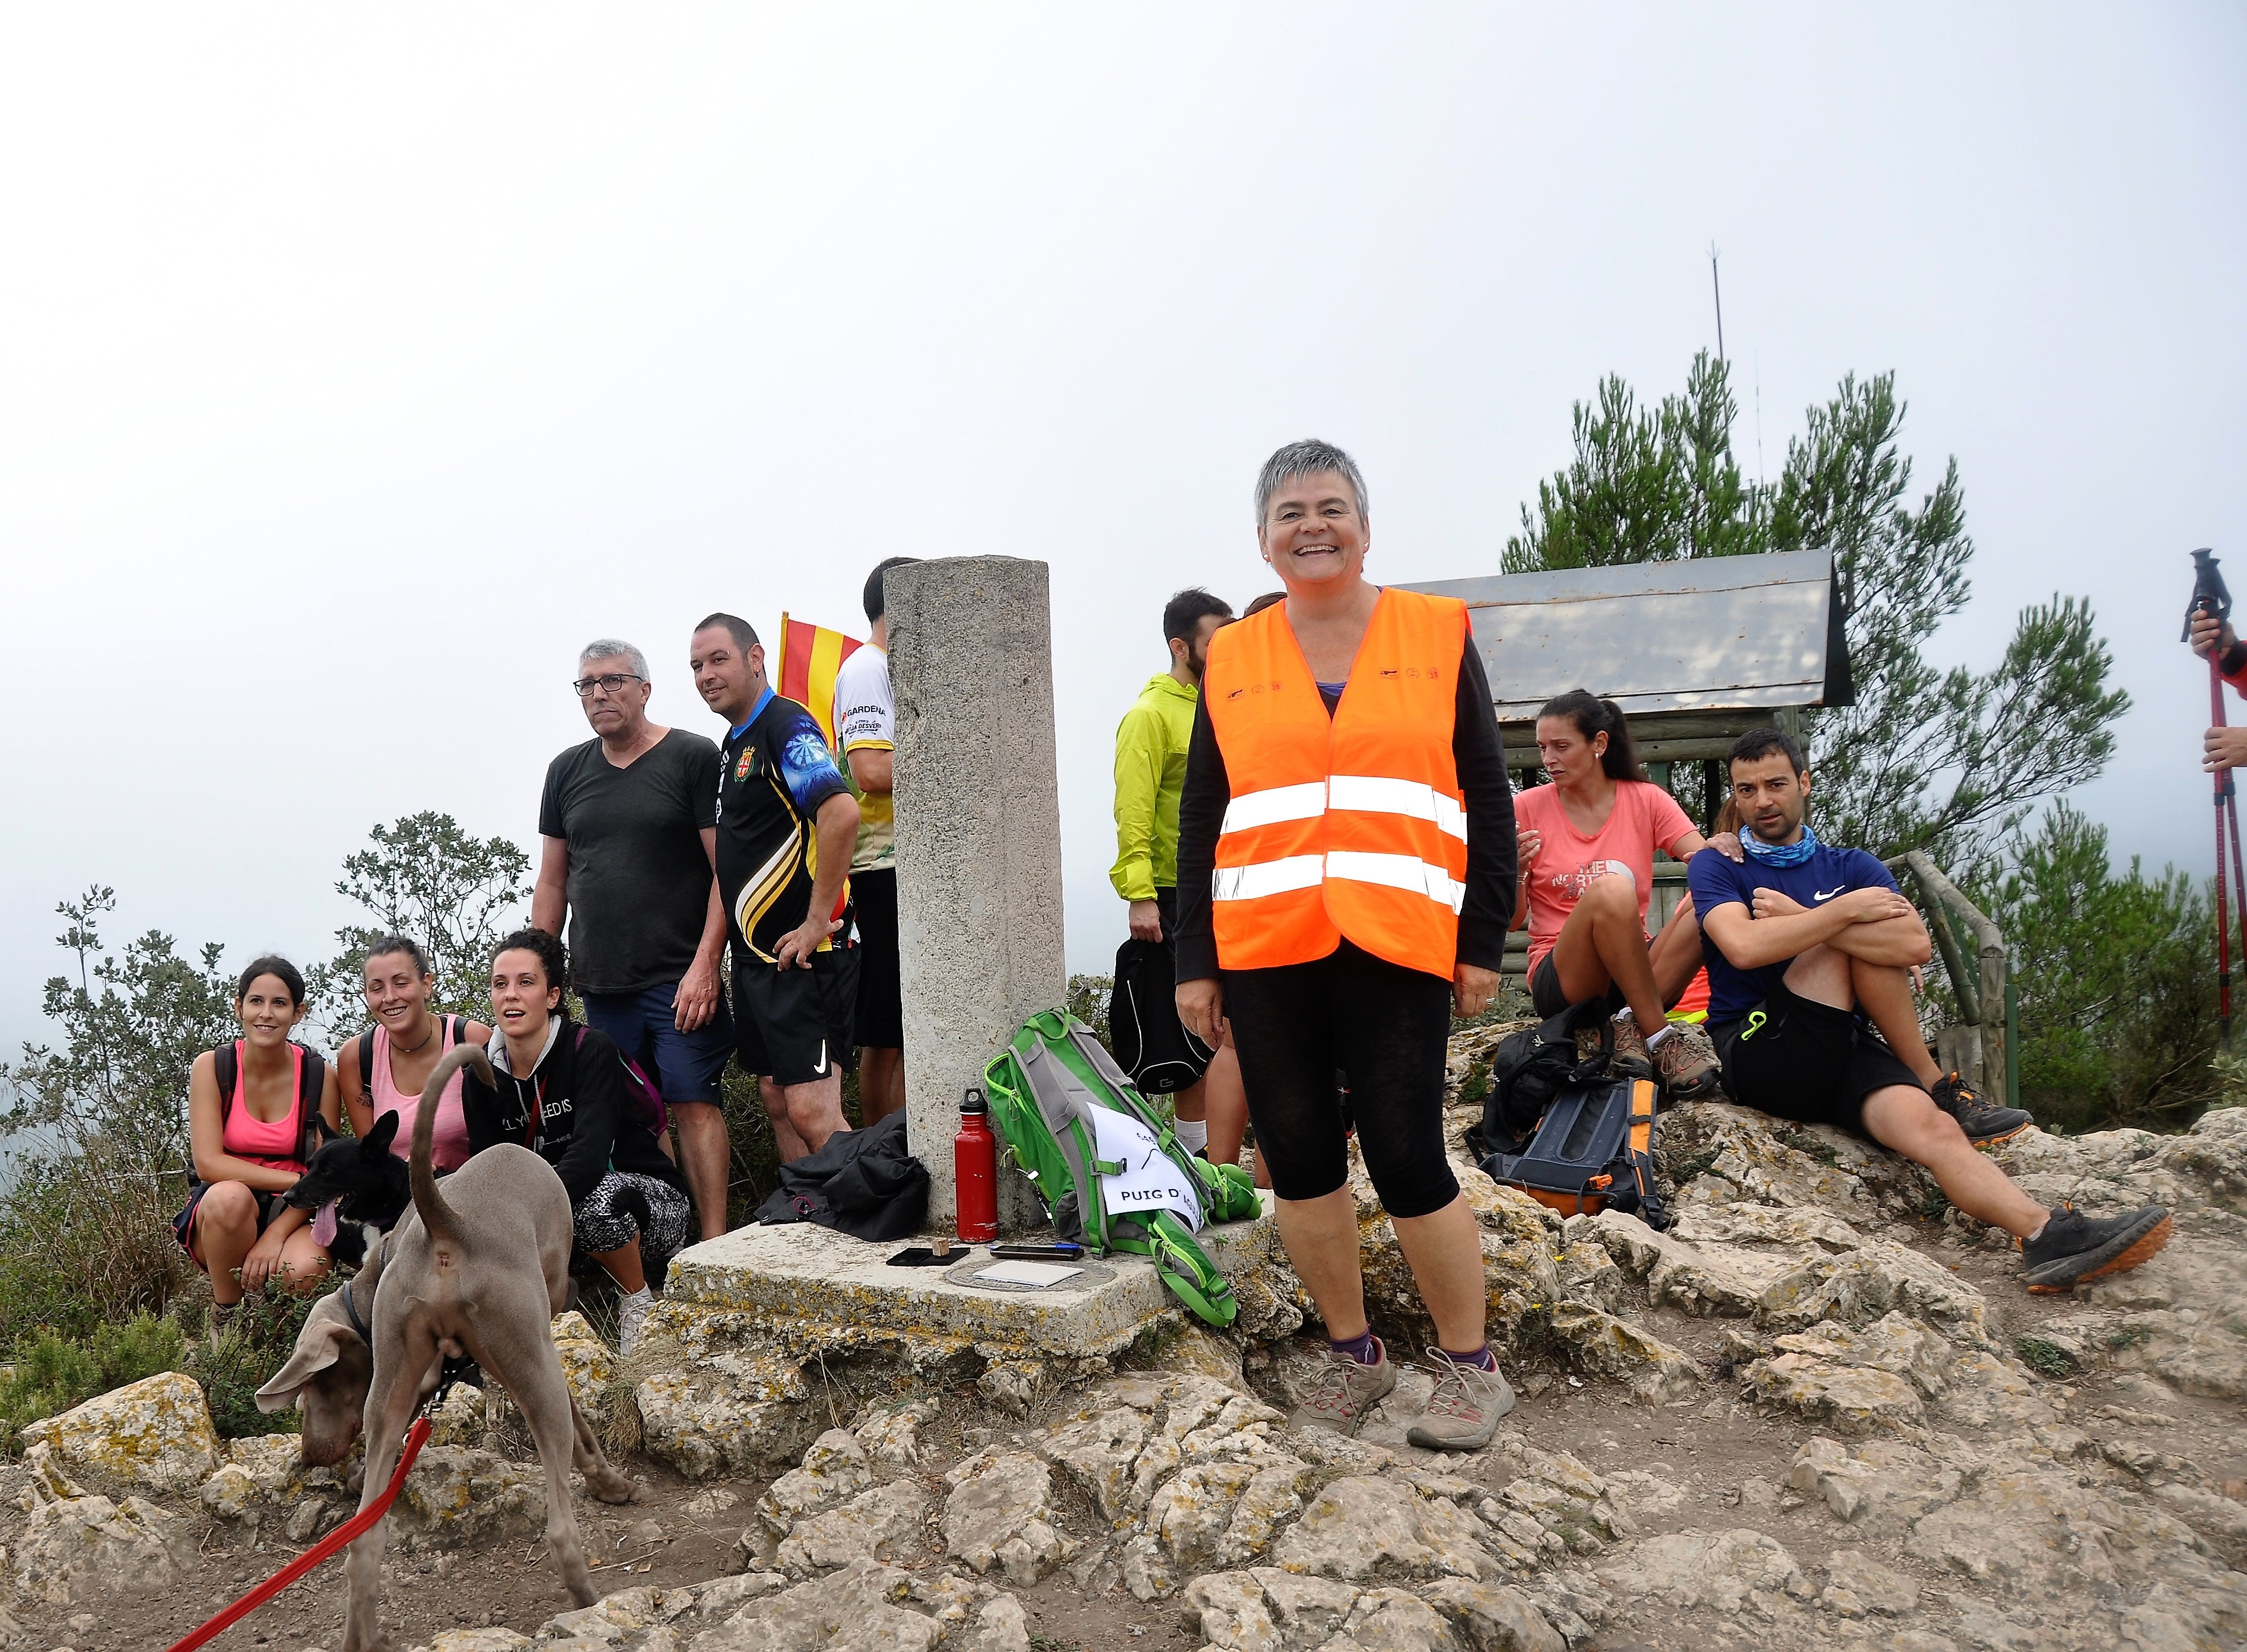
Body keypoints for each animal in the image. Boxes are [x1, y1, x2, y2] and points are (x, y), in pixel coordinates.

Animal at [256, 1043, 638, 1652]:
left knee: (363, 1546)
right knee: (559, 1529)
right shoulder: (536, 1349)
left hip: (392, 1387)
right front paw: (610, 1483)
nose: (311, 1456)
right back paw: (592, 1606)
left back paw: (361, 1637)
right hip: (528, 1358)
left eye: (317, 1384)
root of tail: (447, 1224)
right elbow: (579, 1422)